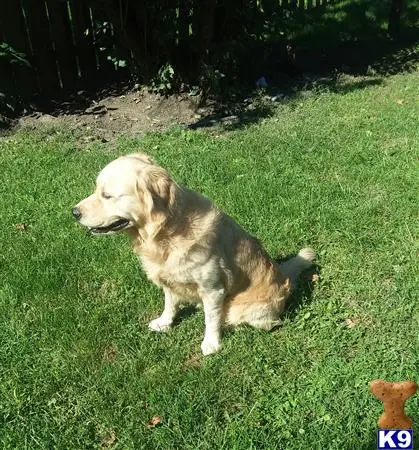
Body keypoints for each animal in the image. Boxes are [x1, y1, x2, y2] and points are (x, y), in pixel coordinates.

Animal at [73, 155, 316, 356]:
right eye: (96, 189)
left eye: (107, 196)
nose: (74, 212)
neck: (166, 233)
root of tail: (282, 275)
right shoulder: (169, 279)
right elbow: (170, 303)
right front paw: (164, 322)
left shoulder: (213, 288)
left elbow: (211, 319)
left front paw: (211, 343)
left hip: (246, 310)